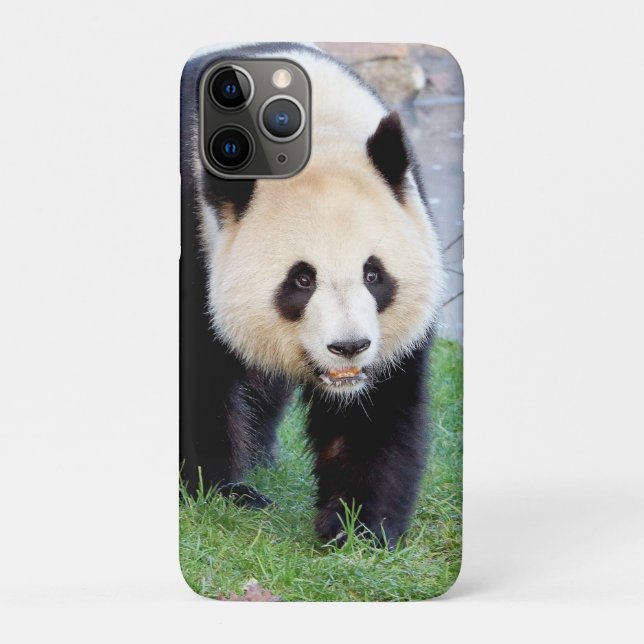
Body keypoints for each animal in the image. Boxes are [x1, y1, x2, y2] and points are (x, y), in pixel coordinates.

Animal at [180, 43, 445, 547]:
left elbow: (376, 407)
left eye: (373, 274)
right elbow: (197, 375)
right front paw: (217, 490)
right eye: (302, 280)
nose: (349, 347)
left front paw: (358, 527)